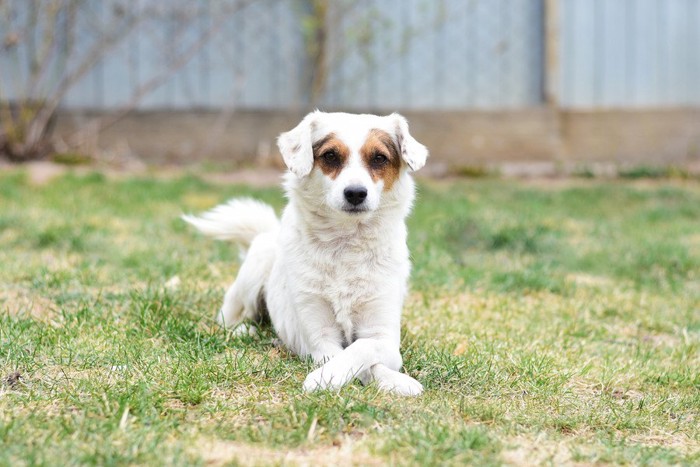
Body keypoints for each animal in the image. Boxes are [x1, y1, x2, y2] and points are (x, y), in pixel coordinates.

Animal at [183, 111, 426, 396]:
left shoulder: (384, 338)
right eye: (331, 155)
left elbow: (361, 351)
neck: (344, 245)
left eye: (379, 158)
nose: (355, 193)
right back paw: (247, 330)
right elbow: (344, 357)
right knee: (230, 318)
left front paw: (396, 380)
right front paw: (326, 377)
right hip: (255, 271)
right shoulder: (319, 338)